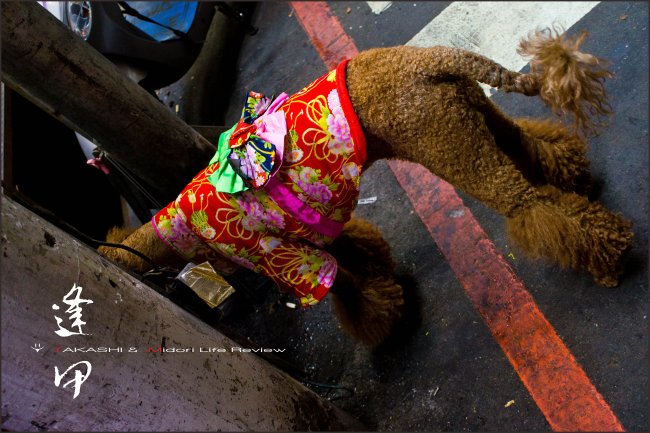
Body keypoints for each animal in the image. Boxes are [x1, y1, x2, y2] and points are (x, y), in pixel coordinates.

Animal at [98, 27, 632, 344]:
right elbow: (361, 253)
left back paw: (608, 259)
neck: (175, 230)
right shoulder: (315, 233)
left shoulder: (289, 261)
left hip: (454, 152)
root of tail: (435, 60)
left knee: (535, 206)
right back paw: (579, 178)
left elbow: (347, 291)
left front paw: (380, 322)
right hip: (476, 121)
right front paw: (389, 288)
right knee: (531, 147)